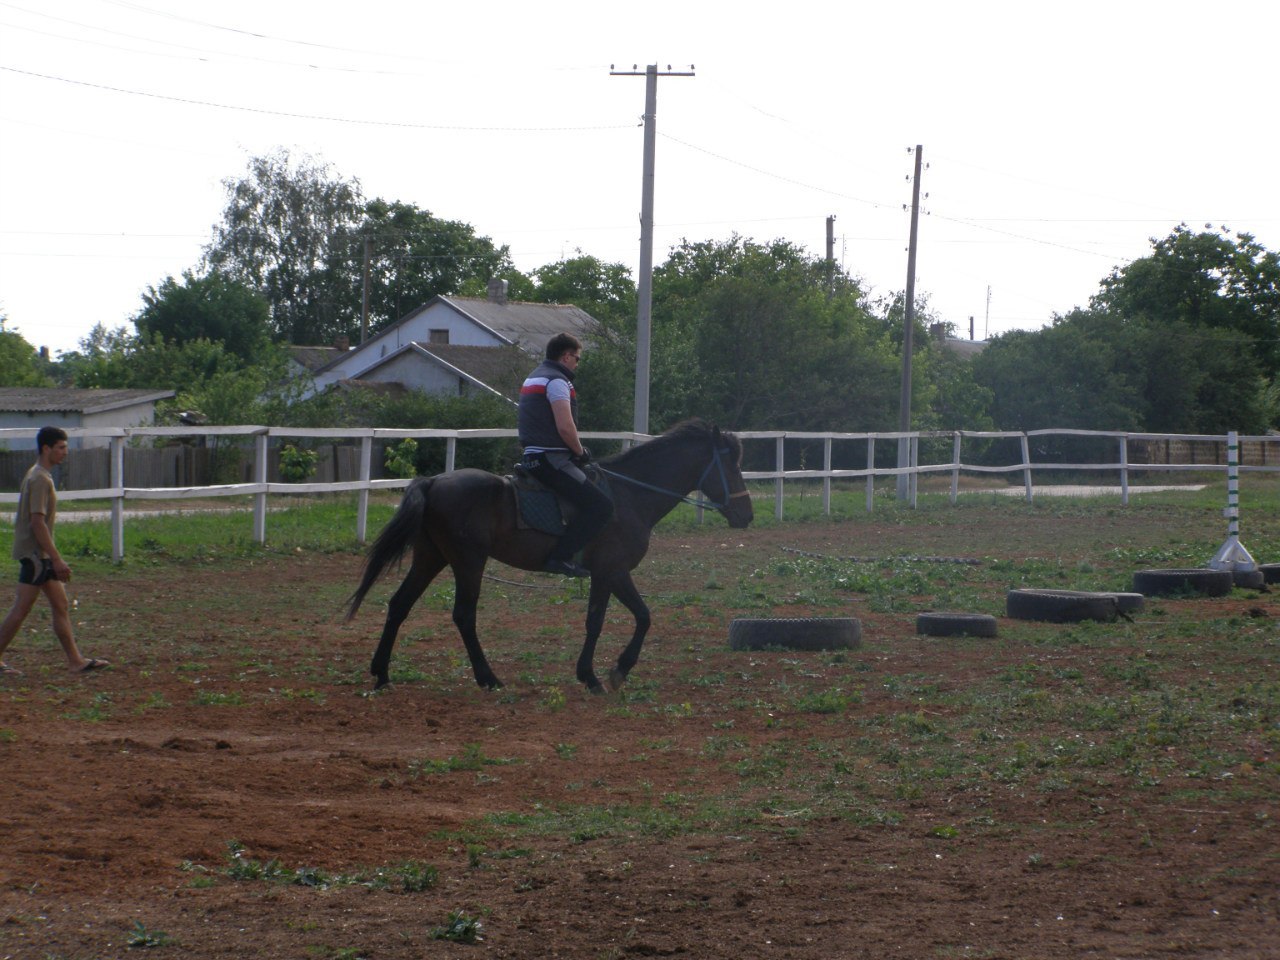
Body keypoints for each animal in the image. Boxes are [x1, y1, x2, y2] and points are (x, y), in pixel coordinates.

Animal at [345, 417, 752, 696]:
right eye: (732, 467)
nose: (746, 515)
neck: (629, 496)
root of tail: (433, 482)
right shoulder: (611, 571)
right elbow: (614, 620)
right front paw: (600, 674)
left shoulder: (611, 573)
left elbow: (633, 617)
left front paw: (607, 671)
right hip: (468, 562)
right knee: (463, 616)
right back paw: (488, 677)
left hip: (431, 558)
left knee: (399, 605)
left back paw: (382, 672)